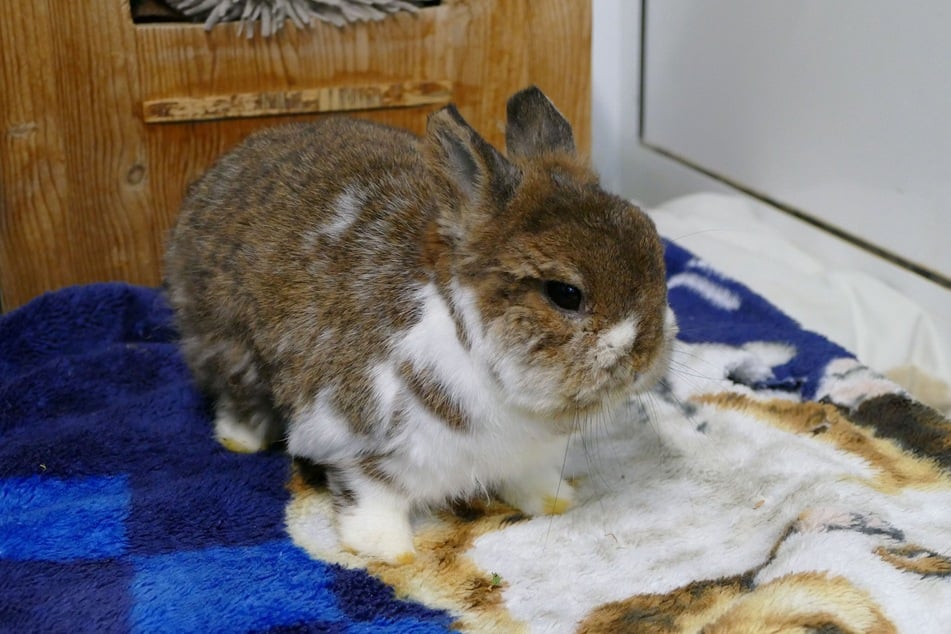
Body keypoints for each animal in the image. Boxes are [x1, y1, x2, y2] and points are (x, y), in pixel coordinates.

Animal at [164, 86, 677, 563]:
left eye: (654, 246)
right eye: (564, 293)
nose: (644, 359)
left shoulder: (522, 458)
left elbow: (530, 481)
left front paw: (556, 501)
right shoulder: (354, 436)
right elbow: (371, 498)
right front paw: (388, 551)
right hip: (226, 342)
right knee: (234, 394)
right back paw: (241, 439)